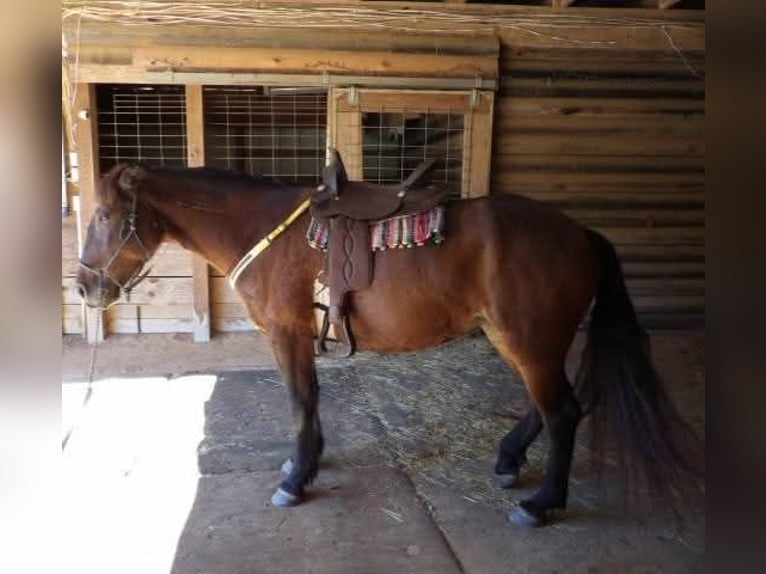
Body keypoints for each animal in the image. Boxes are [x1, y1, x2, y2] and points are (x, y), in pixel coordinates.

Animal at [75, 162, 698, 527]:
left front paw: (295, 480)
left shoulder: (288, 332)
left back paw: (540, 504)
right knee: (545, 405)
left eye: (105, 215)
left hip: (531, 339)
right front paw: (307, 461)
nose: (84, 287)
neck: (261, 227)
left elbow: (299, 402)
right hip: (520, 339)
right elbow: (311, 402)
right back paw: (508, 459)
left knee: (564, 411)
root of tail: (578, 233)